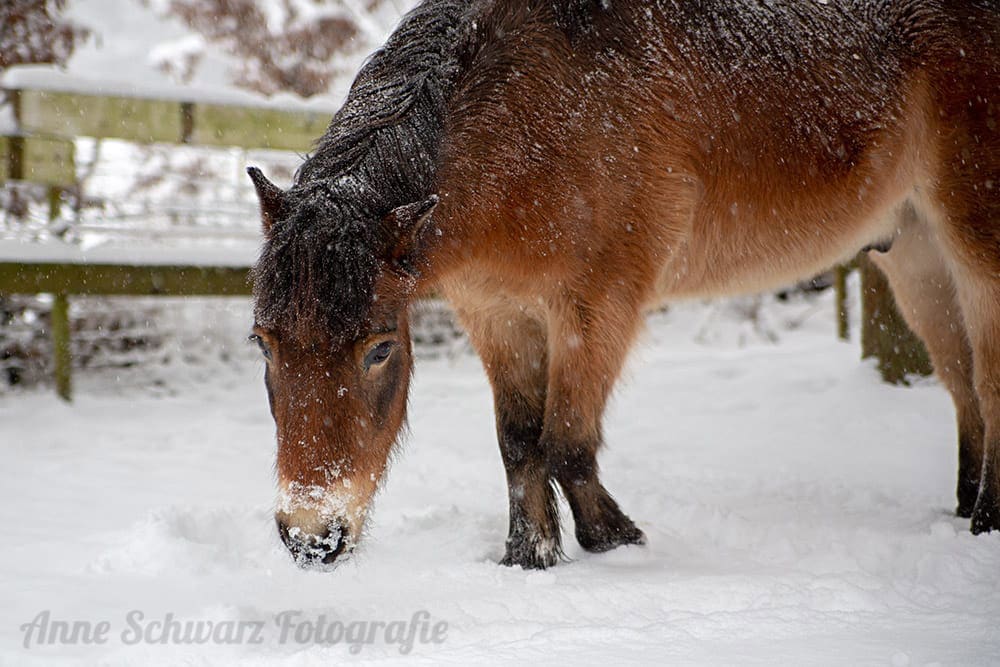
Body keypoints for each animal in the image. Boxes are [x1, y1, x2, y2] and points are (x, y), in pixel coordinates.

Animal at [247, 0, 1000, 569]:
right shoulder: (498, 313)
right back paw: (964, 505)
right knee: (962, 383)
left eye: (378, 350)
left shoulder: (597, 306)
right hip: (915, 254)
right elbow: (519, 442)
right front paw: (528, 557)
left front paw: (618, 542)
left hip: (975, 244)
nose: (312, 538)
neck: (531, 114)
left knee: (988, 380)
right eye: (263, 344)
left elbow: (567, 443)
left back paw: (985, 522)